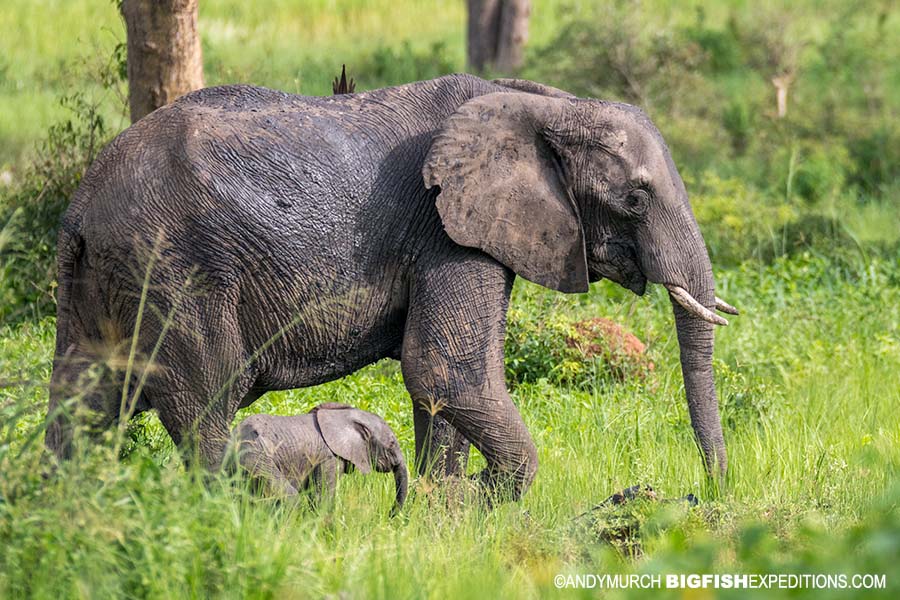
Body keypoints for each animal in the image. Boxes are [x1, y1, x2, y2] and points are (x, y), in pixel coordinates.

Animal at [45, 73, 737, 501]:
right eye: (637, 197)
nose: (706, 491)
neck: (543, 103)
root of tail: (80, 207)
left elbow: (447, 381)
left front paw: (443, 512)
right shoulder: (444, 231)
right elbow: (444, 371)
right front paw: (474, 500)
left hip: (95, 281)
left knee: (83, 405)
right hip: (174, 269)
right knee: (206, 406)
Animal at [231, 403, 408, 513]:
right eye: (392, 443)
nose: (388, 515)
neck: (345, 417)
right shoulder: (329, 458)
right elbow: (322, 499)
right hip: (256, 458)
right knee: (290, 499)